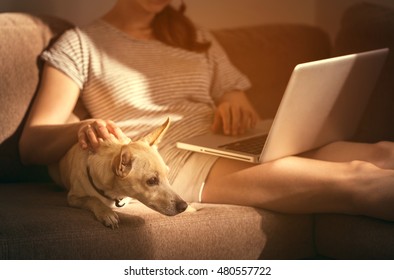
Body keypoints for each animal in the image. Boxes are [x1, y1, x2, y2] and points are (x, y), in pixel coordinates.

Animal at [50, 117, 192, 229]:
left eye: (168, 175)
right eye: (152, 181)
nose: (183, 206)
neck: (116, 194)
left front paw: (191, 207)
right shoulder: (73, 199)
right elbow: (93, 199)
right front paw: (107, 213)